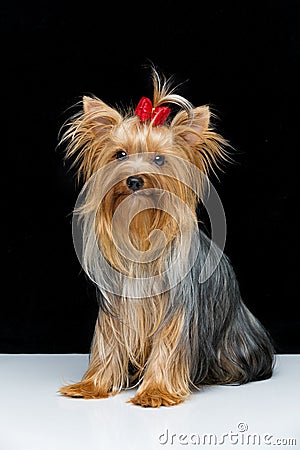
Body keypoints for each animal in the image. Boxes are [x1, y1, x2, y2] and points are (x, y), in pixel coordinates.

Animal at [59, 67, 274, 408]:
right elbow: (108, 344)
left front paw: (156, 391)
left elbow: (168, 346)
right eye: (120, 154)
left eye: (159, 159)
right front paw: (92, 385)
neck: (141, 230)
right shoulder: (116, 309)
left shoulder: (176, 311)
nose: (134, 180)